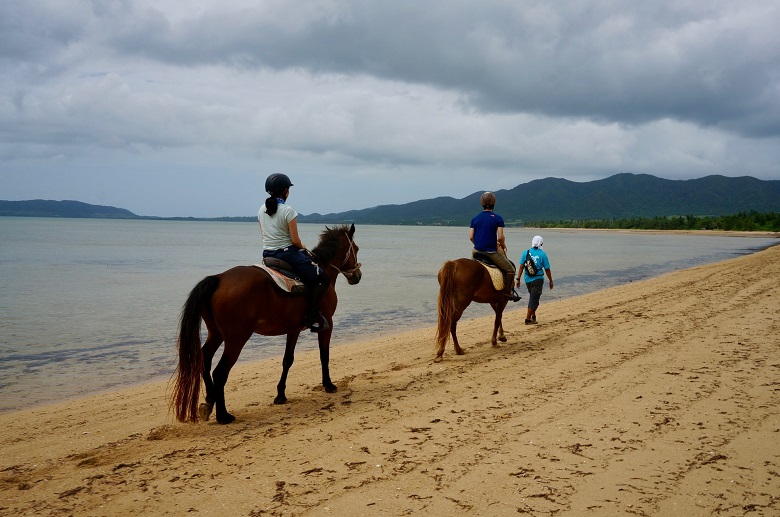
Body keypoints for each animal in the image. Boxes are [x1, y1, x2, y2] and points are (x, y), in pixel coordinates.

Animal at [172, 223, 362, 424]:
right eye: (356, 249)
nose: (357, 275)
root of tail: (219, 278)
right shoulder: (327, 325)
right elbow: (324, 355)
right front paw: (328, 384)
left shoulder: (293, 329)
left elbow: (287, 360)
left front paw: (281, 395)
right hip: (236, 339)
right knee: (220, 372)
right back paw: (223, 415)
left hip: (216, 333)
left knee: (205, 359)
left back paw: (209, 401)